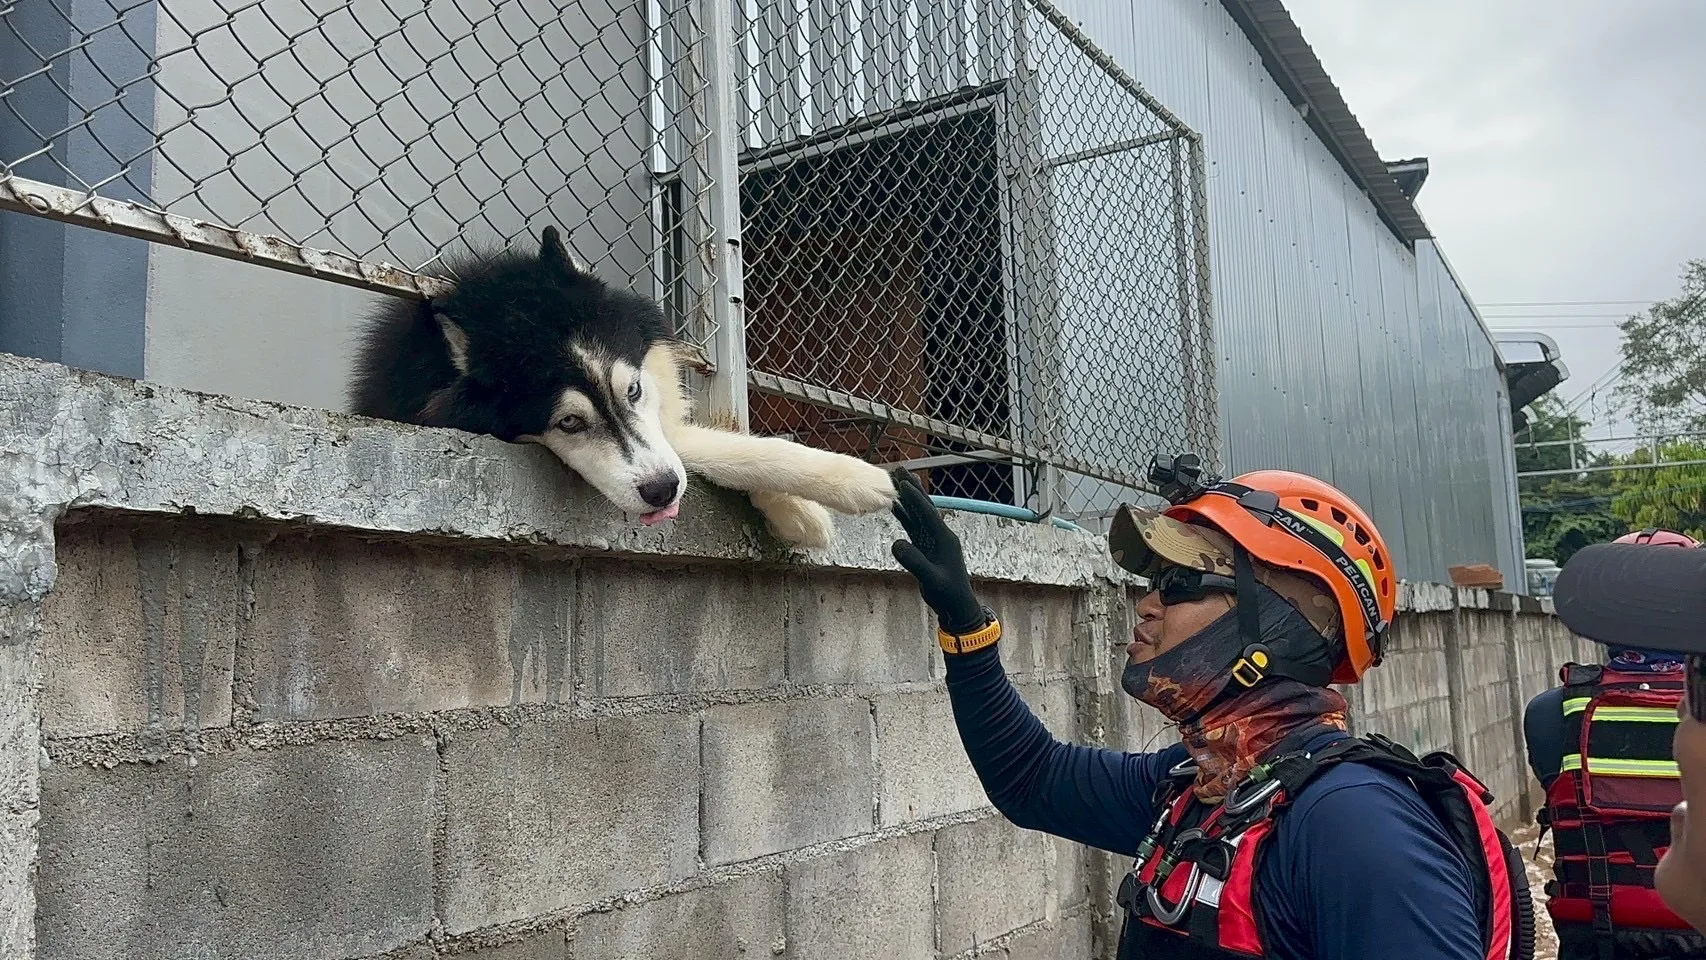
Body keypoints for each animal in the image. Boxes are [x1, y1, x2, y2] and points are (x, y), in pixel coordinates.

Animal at [346, 225, 898, 547]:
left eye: (633, 391)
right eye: (569, 422)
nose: (663, 491)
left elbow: (724, 446)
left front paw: (802, 508)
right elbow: (727, 451)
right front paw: (850, 485)